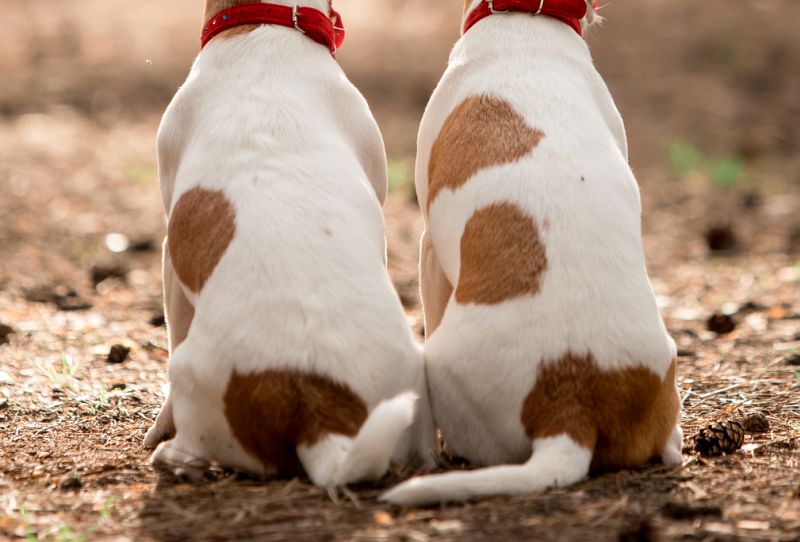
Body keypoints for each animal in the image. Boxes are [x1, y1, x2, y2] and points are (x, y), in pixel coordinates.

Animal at [141, 0, 434, 490]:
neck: (267, 22)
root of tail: (311, 402)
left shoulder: (169, 259)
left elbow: (173, 332)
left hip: (194, 377)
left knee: (197, 442)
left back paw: (174, 456)